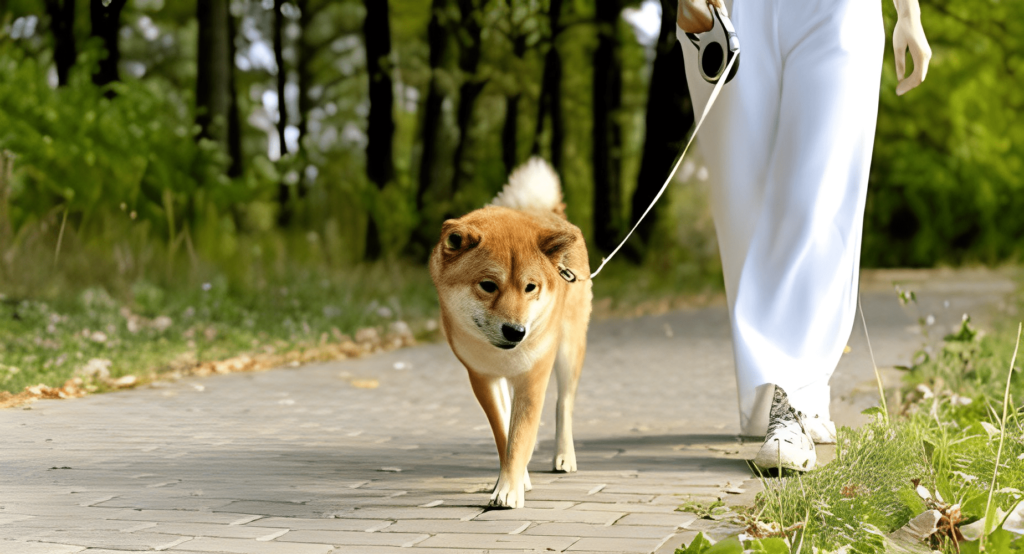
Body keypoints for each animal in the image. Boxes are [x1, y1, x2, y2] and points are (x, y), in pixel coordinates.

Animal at [430, 157, 593, 507]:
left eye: (530, 287)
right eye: (488, 285)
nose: (516, 331)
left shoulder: (532, 376)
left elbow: (520, 435)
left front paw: (508, 490)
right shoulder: (483, 377)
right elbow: (504, 431)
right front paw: (514, 479)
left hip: (569, 350)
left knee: (564, 404)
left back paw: (564, 456)